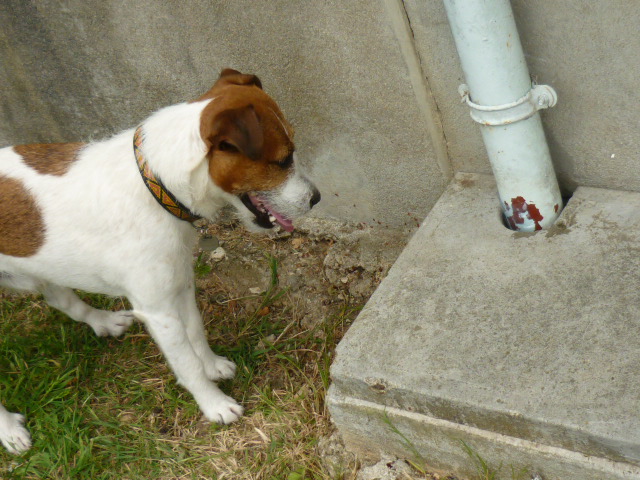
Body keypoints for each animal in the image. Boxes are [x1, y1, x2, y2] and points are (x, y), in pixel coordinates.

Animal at [0, 68, 320, 454]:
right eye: (284, 160)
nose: (316, 198)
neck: (156, 185)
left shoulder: (180, 284)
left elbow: (196, 333)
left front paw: (213, 365)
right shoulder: (158, 311)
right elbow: (186, 363)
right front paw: (214, 404)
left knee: (62, 299)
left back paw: (104, 321)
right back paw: (9, 430)